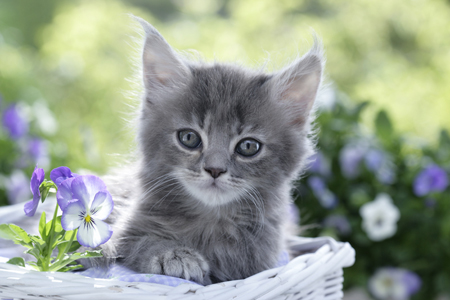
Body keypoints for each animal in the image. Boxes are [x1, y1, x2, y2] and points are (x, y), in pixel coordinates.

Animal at [101, 17, 322, 284]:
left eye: (248, 146)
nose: (215, 169)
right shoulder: (122, 232)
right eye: (189, 138)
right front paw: (176, 256)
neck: (211, 222)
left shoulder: (264, 260)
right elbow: (142, 242)